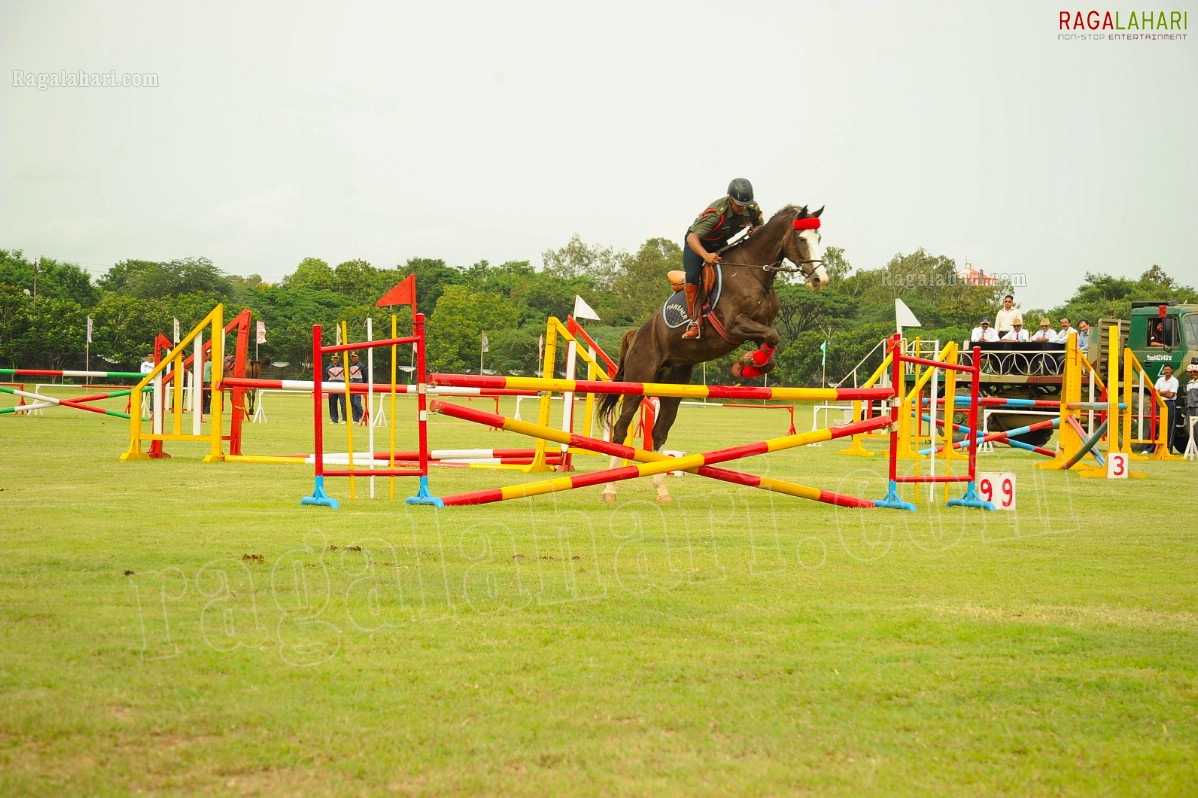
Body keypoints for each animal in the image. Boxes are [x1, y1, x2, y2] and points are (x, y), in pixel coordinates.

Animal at [596, 203, 824, 503]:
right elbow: (772, 336)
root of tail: (638, 334)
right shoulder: (733, 326)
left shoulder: (759, 328)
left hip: (673, 385)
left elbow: (772, 344)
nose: (820, 278)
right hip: (639, 380)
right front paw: (748, 364)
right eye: (801, 238)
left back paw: (661, 490)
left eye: (818, 237)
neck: (754, 273)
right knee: (621, 428)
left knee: (660, 431)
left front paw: (748, 365)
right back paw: (609, 488)